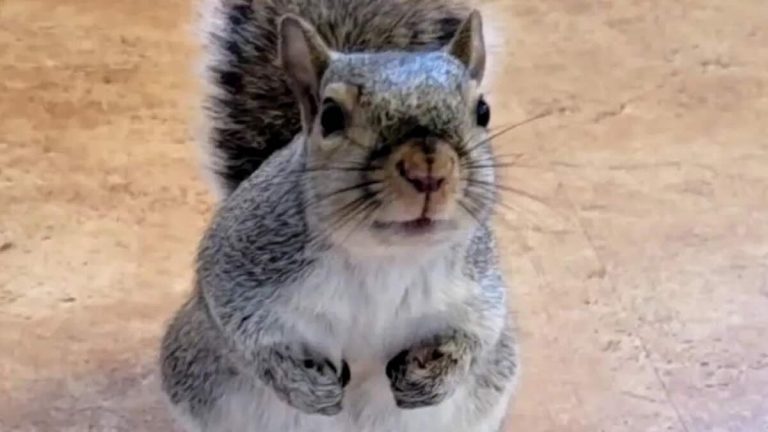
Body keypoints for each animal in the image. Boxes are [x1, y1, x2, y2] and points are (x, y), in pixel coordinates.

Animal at [160, 0, 518, 431]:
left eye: (483, 110)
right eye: (330, 116)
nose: (428, 170)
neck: (384, 258)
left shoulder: (479, 288)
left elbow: (478, 334)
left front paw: (437, 375)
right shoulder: (241, 264)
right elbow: (244, 332)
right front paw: (300, 384)